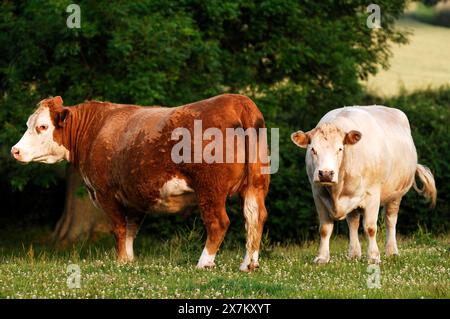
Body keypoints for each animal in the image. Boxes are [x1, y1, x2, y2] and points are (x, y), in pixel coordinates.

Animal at [12, 94, 268, 272]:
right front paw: (129, 261)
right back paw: (249, 264)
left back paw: (203, 263)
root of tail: (238, 101)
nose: (15, 150)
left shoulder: (106, 193)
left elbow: (119, 228)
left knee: (218, 222)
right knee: (255, 217)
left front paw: (121, 261)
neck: (94, 130)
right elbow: (130, 231)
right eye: (28, 124)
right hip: (255, 184)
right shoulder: (134, 196)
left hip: (210, 188)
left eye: (42, 126)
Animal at [292, 105, 436, 264]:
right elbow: (325, 228)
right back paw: (354, 254)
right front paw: (322, 257)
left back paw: (392, 251)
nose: (326, 173)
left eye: (340, 149)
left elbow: (370, 228)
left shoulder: (372, 194)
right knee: (353, 223)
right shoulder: (318, 194)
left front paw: (373, 257)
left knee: (390, 220)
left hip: (396, 194)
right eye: (313, 149)